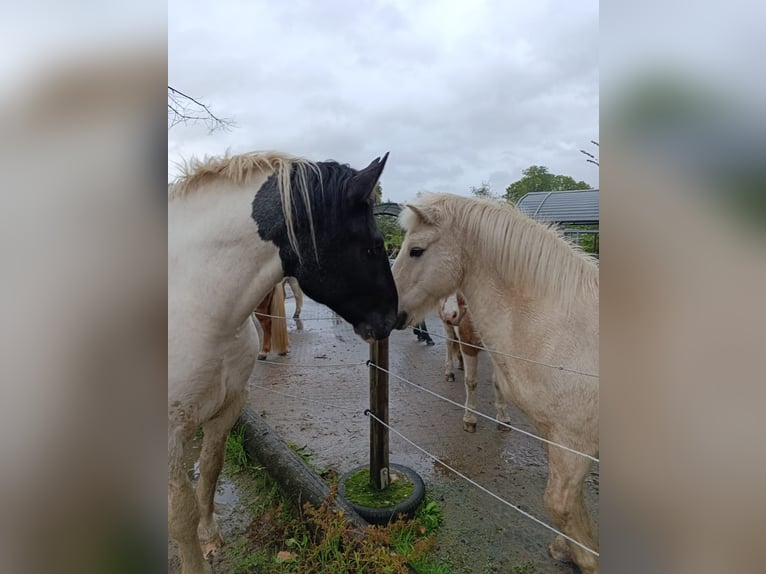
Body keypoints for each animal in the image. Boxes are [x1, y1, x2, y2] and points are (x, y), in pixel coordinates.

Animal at [169, 151, 398, 574]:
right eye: (375, 245)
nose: (393, 319)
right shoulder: (170, 436)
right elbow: (180, 513)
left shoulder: (227, 408)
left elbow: (209, 472)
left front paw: (210, 537)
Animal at [438, 292, 511, 433]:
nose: (451, 315)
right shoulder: (468, 346)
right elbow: (471, 382)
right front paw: (469, 419)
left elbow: (498, 383)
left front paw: (503, 418)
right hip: (447, 326)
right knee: (449, 342)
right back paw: (449, 373)